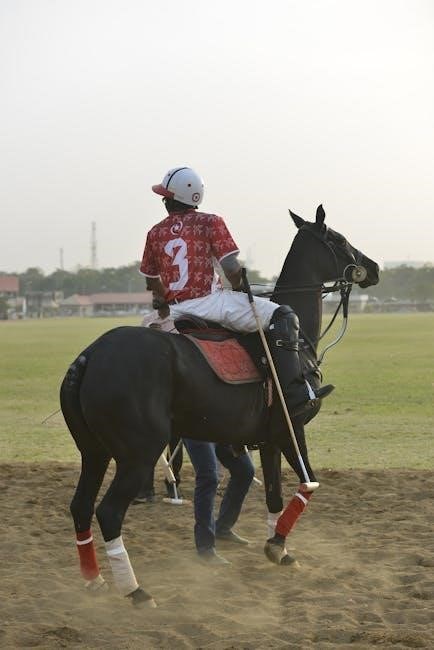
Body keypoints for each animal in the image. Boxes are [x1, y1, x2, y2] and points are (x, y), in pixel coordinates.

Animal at [60, 205, 379, 607]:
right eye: (338, 239)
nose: (374, 267)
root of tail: (88, 357)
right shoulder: (293, 426)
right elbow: (308, 484)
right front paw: (277, 544)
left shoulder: (270, 437)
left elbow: (273, 494)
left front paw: (279, 547)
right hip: (139, 453)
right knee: (109, 511)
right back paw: (136, 591)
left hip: (94, 451)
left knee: (81, 506)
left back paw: (94, 579)